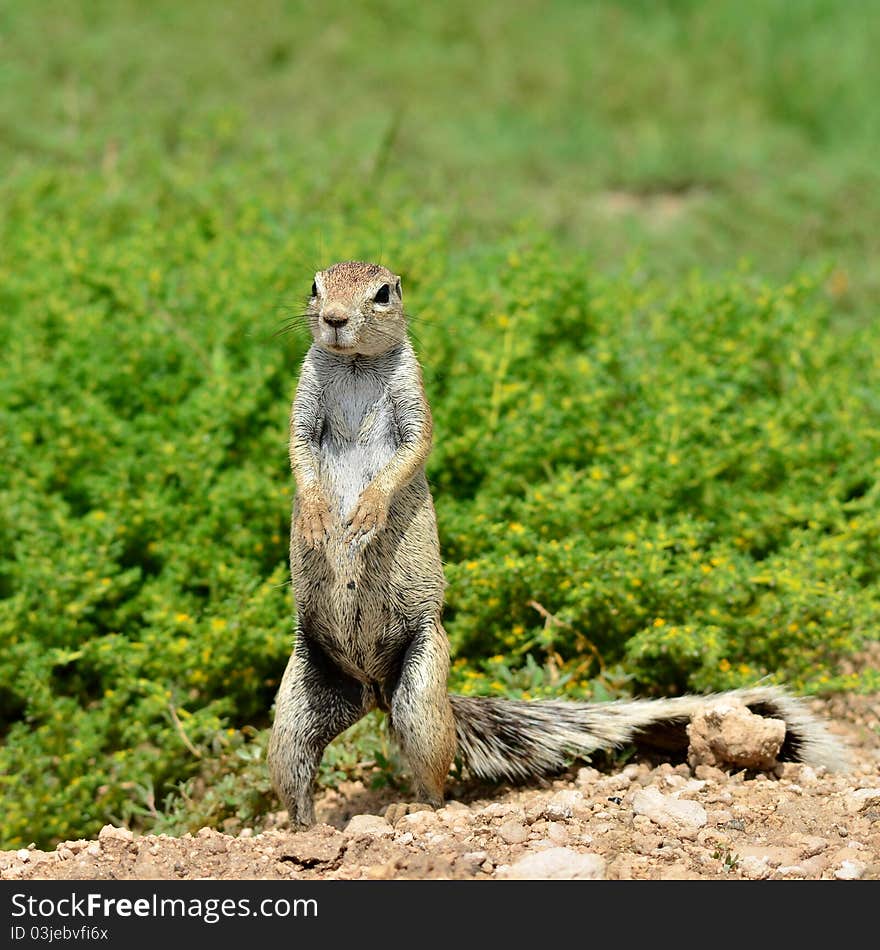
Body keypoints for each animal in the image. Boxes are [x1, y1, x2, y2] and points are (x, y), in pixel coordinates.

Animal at [268, 264, 844, 828]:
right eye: (315, 285)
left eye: (383, 293)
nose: (334, 318)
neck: (355, 365)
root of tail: (373, 689)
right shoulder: (304, 399)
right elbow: (297, 451)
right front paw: (318, 517)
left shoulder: (413, 400)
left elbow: (411, 452)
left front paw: (367, 512)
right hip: (297, 708)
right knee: (296, 769)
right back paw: (304, 828)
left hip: (419, 692)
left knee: (433, 772)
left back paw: (414, 808)